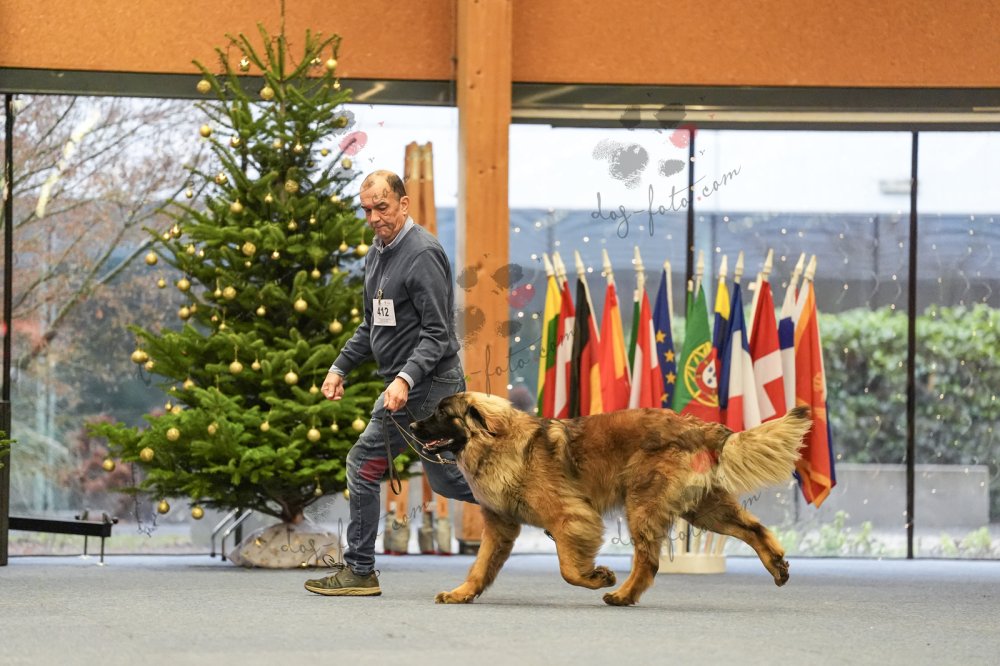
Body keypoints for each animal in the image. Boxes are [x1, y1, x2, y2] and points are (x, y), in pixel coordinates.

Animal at [411, 391, 811, 606]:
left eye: (442, 413)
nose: (412, 425)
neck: (499, 443)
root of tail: (698, 427)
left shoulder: (571, 516)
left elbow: (569, 569)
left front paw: (598, 577)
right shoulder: (500, 527)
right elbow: (480, 566)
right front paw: (461, 593)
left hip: (643, 505)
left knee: (649, 561)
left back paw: (622, 595)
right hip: (703, 508)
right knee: (753, 529)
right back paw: (777, 565)